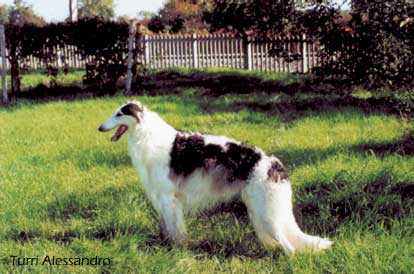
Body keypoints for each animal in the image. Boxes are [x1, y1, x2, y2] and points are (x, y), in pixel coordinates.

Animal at [98, 101, 334, 255]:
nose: (100, 127)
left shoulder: (168, 198)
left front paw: (175, 250)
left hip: (267, 214)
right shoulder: (161, 199)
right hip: (257, 211)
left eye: (120, 114)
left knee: (290, 248)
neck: (148, 135)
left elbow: (175, 232)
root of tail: (273, 164)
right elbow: (164, 228)